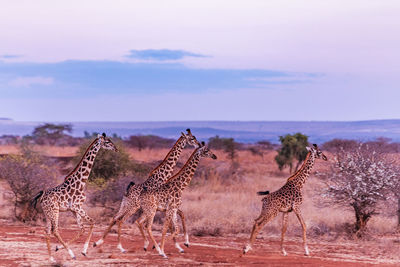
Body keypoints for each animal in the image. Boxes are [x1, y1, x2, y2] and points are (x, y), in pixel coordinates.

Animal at [29, 134, 117, 262]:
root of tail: (42, 196)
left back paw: (51, 258)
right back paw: (71, 254)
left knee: (47, 231)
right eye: (107, 142)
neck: (81, 182)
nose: (116, 149)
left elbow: (82, 229)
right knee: (55, 230)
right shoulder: (77, 206)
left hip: (47, 213)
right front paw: (83, 251)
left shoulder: (74, 209)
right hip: (54, 211)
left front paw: (62, 248)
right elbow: (92, 222)